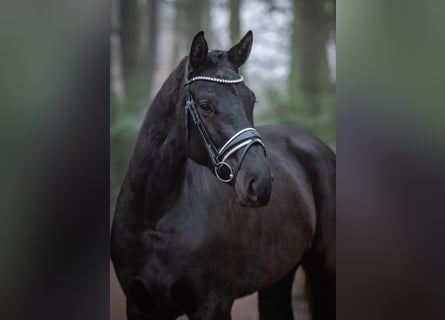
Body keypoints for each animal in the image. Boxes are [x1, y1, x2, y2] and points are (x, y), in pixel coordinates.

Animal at [110, 30, 332, 320]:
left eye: (251, 100)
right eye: (205, 105)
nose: (259, 183)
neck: (153, 217)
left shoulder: (213, 305)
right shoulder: (139, 306)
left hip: (325, 270)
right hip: (278, 275)